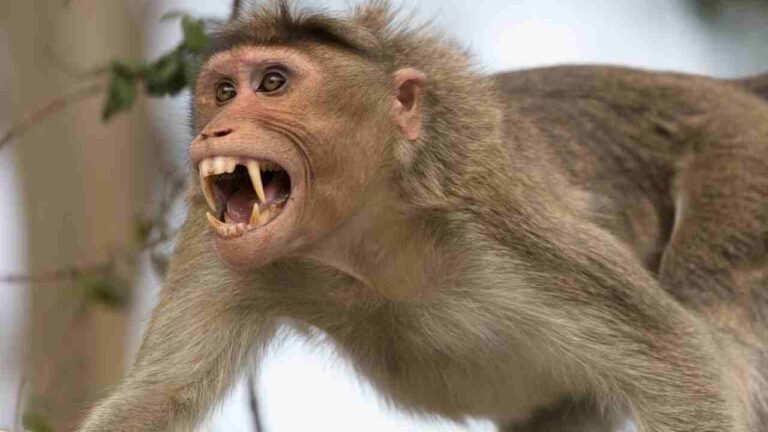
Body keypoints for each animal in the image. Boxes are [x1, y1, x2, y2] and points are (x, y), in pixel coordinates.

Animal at [78, 1, 768, 431]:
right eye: (223, 92)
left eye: (272, 82)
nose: (215, 128)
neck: (367, 234)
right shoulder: (213, 243)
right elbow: (152, 401)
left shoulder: (500, 217)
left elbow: (678, 357)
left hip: (741, 162)